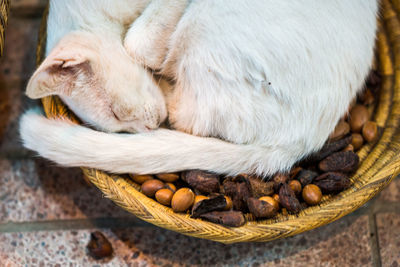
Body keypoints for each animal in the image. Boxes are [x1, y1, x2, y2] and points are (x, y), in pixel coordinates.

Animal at [20, 1, 380, 178]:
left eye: (116, 114)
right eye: (118, 124)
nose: (149, 129)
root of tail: (302, 141)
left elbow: (137, 43)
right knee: (189, 116)